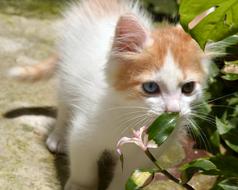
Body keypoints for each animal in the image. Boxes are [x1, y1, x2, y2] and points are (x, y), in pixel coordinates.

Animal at [25, 0, 209, 190]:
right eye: (151, 87)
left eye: (188, 87)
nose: (173, 110)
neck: (133, 117)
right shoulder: (83, 133)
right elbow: (83, 164)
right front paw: (81, 185)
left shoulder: (145, 154)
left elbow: (128, 175)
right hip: (67, 74)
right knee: (64, 104)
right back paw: (59, 135)